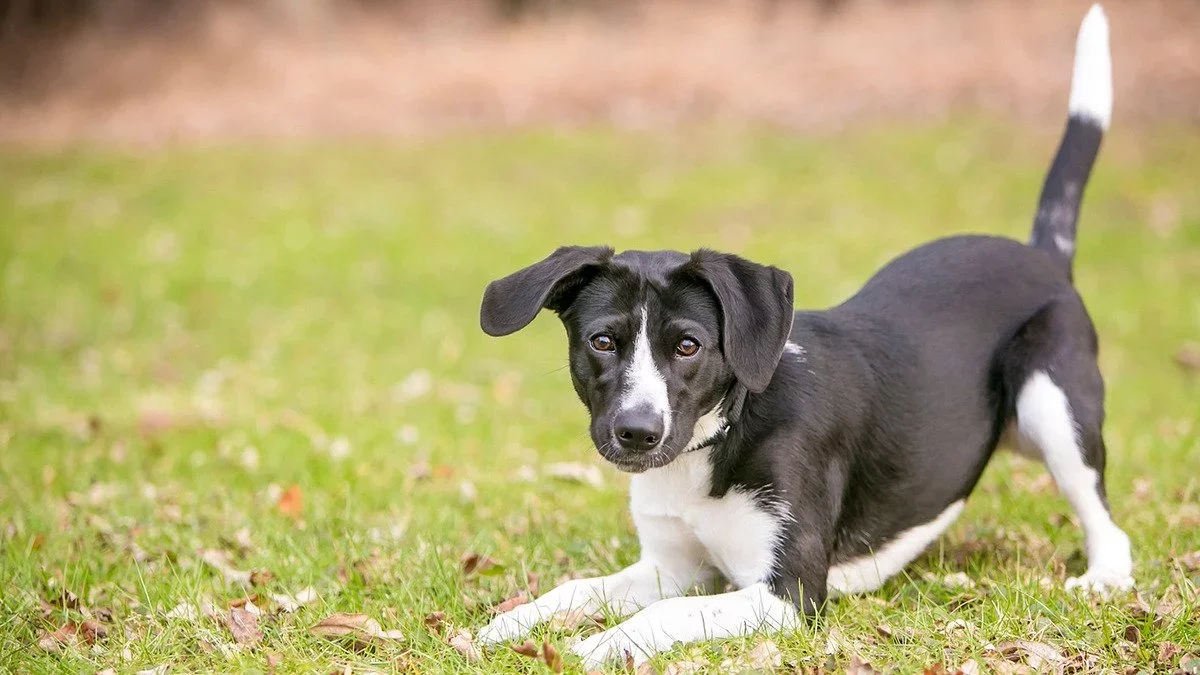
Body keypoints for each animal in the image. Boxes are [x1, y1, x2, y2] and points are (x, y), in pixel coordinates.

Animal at [475, 5, 1123, 662]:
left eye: (687, 345)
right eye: (602, 341)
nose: (636, 433)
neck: (716, 442)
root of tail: (1042, 254)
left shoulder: (787, 592)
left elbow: (662, 616)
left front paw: (598, 647)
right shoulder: (671, 568)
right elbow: (577, 588)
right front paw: (509, 624)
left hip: (1053, 407)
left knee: (1105, 519)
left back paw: (1103, 579)